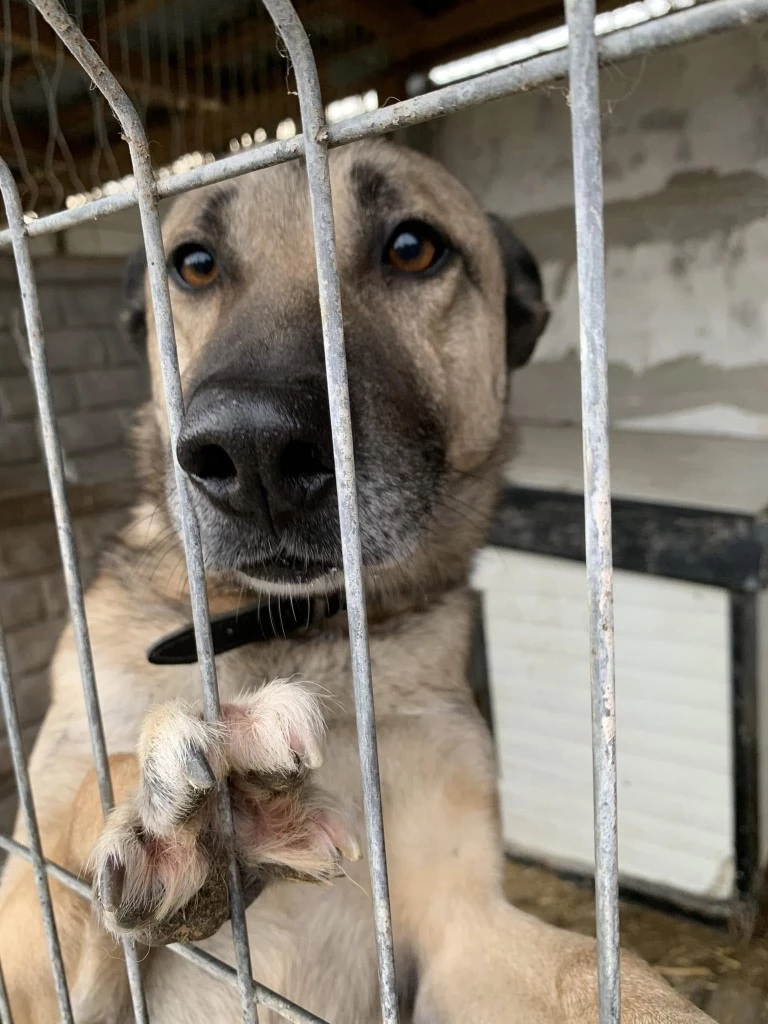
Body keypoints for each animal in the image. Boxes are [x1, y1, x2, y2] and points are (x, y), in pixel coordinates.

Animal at [0, 140, 716, 1019]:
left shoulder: (459, 925)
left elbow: (601, 971)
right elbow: (78, 823)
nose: (254, 455)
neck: (290, 628)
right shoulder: (36, 936)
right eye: (195, 265)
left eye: (412, 248)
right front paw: (176, 813)